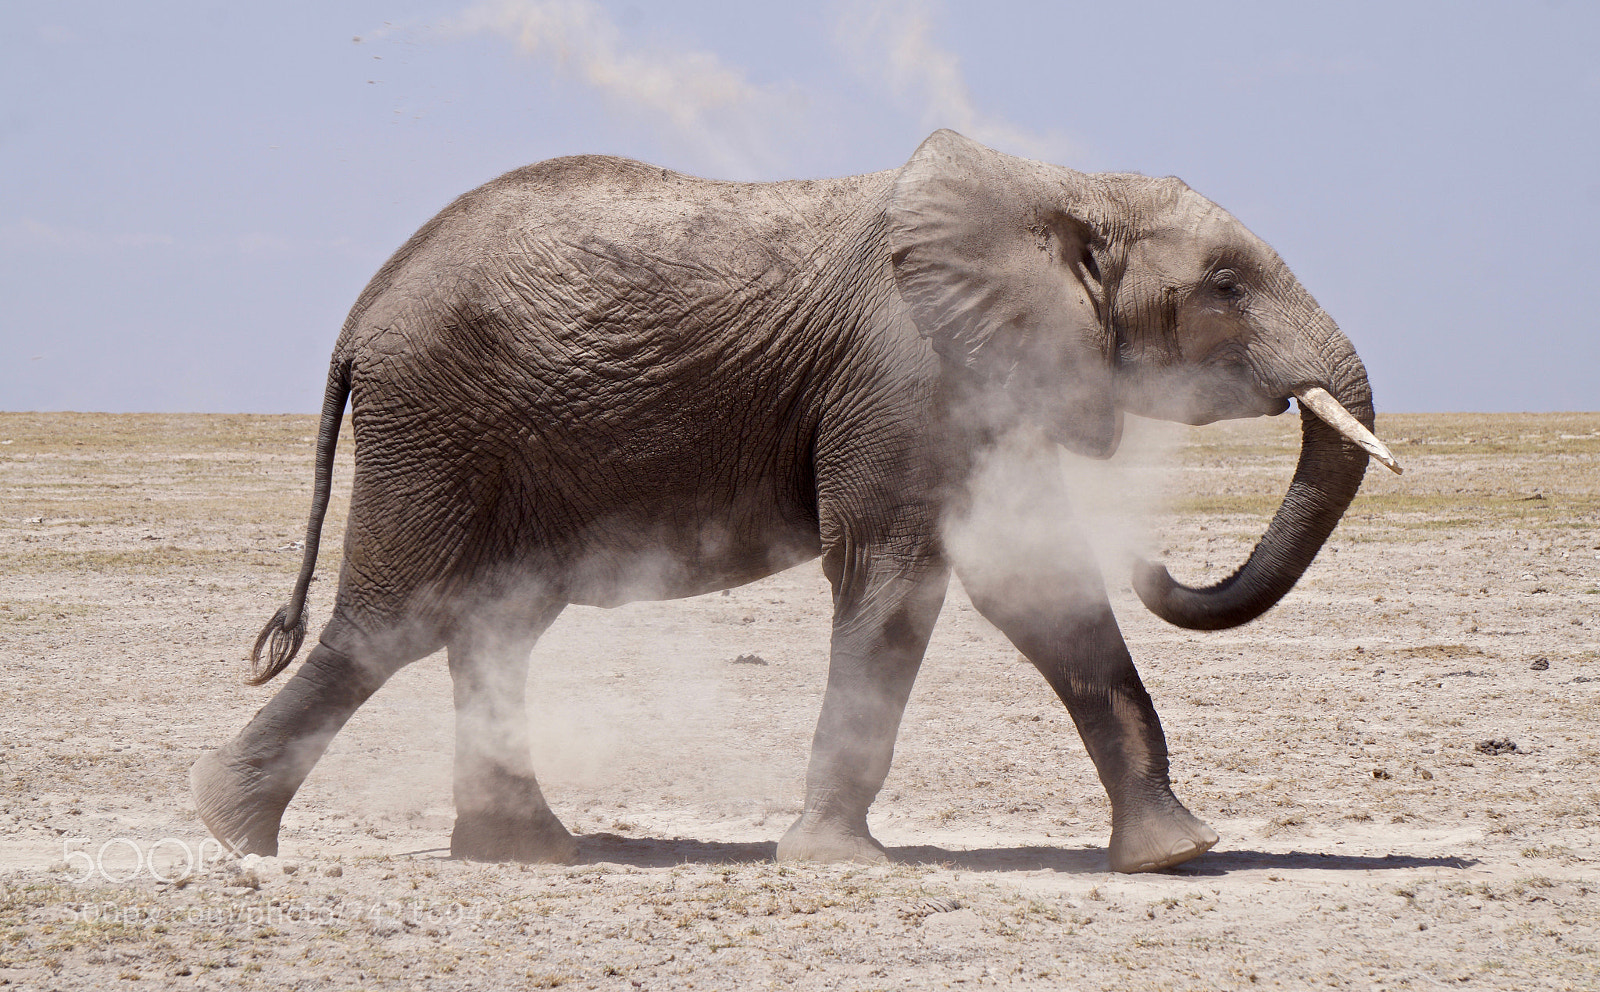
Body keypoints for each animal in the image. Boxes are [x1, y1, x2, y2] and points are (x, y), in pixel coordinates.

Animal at [191, 129, 1400, 873]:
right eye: (1226, 288)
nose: (1157, 558)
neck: (1057, 186)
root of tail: (363, 311)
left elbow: (1040, 587)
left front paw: (1176, 852)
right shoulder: (905, 374)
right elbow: (895, 575)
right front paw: (837, 860)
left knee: (492, 627)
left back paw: (527, 850)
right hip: (435, 426)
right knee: (398, 621)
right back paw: (231, 829)